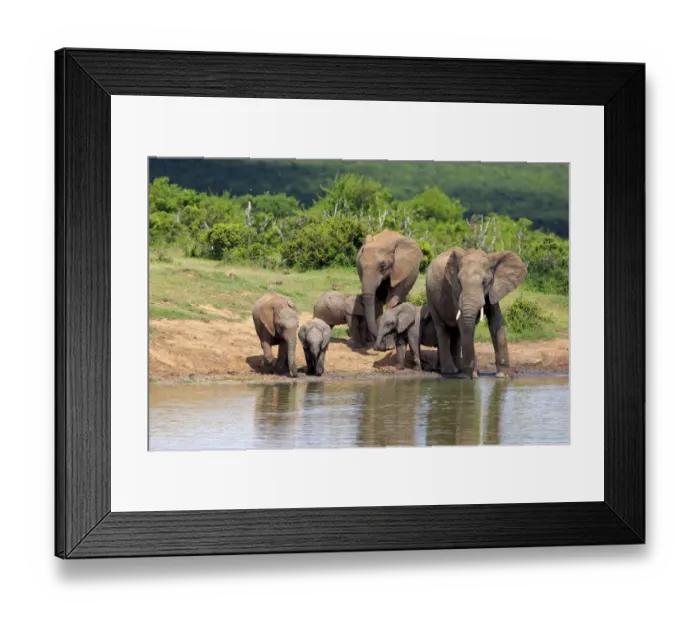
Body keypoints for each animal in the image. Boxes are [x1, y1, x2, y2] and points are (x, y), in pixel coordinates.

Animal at [426, 248, 527, 378]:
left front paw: (503, 376)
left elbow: (496, 323)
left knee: (456, 333)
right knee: (442, 329)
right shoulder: (455, 292)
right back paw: (450, 371)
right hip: (430, 297)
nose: (472, 373)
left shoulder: (494, 289)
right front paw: (469, 376)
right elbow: (464, 325)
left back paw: (457, 369)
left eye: (484, 282)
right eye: (459, 282)